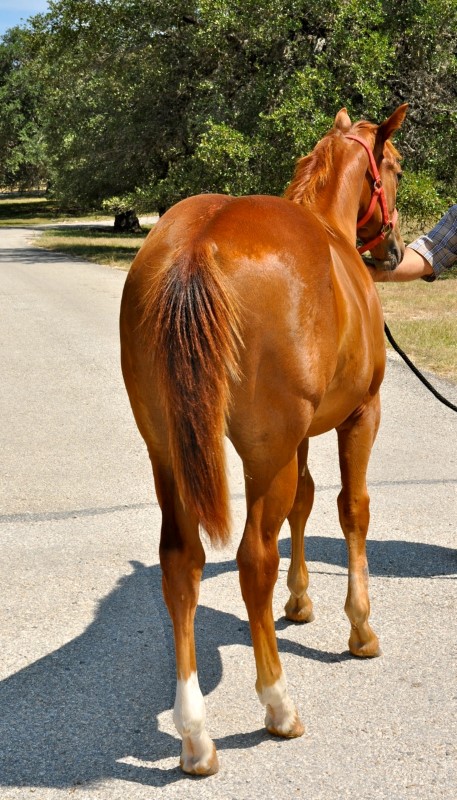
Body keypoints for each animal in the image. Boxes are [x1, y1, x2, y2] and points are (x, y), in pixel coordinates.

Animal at [120, 103, 406, 772]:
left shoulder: (299, 438)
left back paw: (195, 734)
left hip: (167, 453)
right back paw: (277, 704)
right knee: (254, 559)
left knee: (182, 561)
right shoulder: (360, 415)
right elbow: (351, 509)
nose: (394, 250)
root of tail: (198, 244)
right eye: (397, 167)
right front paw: (360, 628)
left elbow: (304, 502)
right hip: (263, 453)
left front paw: (300, 602)